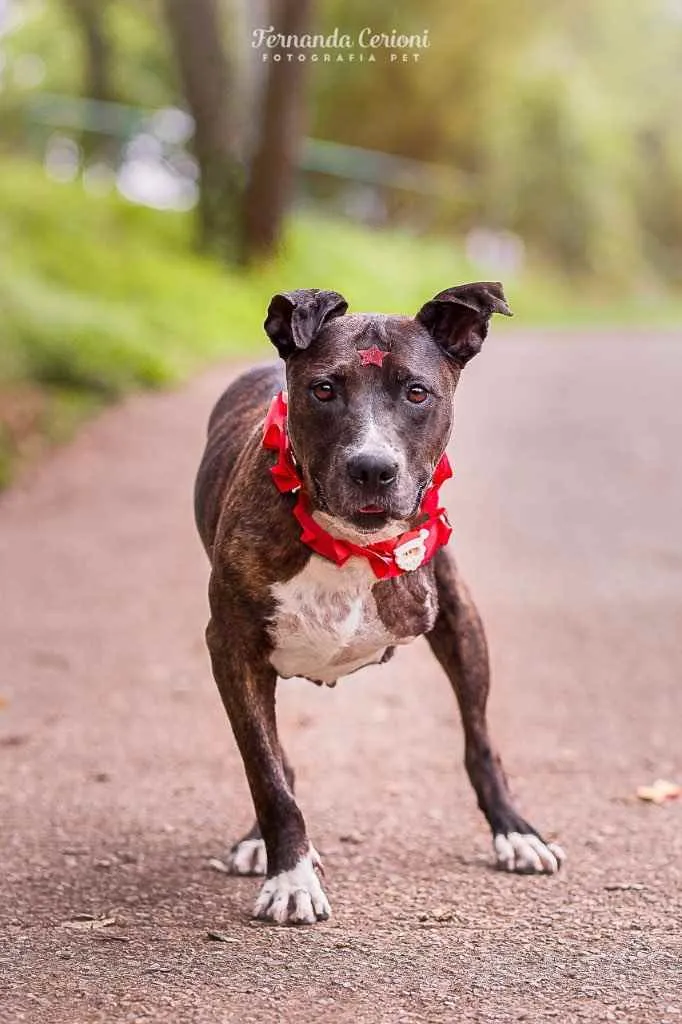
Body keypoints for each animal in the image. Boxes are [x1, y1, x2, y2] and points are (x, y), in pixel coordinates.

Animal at [192, 284, 561, 925]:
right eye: (323, 389)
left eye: (417, 392)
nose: (372, 467)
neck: (349, 544)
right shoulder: (233, 649)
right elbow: (266, 772)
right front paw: (290, 877)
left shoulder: (457, 617)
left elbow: (480, 741)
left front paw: (514, 829)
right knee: (273, 758)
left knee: (479, 739)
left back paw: (514, 831)